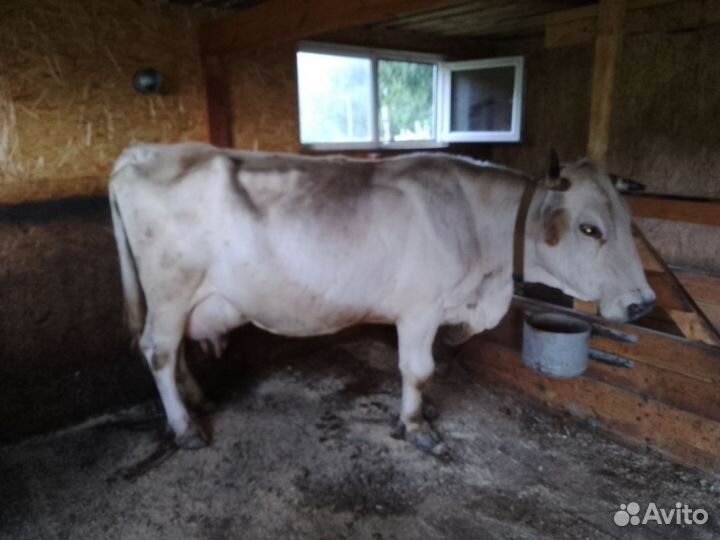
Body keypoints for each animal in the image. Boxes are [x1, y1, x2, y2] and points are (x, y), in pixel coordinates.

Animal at [109, 143, 655, 452]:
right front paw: (416, 427)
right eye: (590, 228)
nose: (643, 303)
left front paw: (423, 415)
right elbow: (419, 369)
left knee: (175, 350)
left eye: (631, 222)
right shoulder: (420, 308)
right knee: (159, 352)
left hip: (180, 300)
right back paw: (184, 428)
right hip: (171, 288)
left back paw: (198, 400)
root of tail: (141, 152)